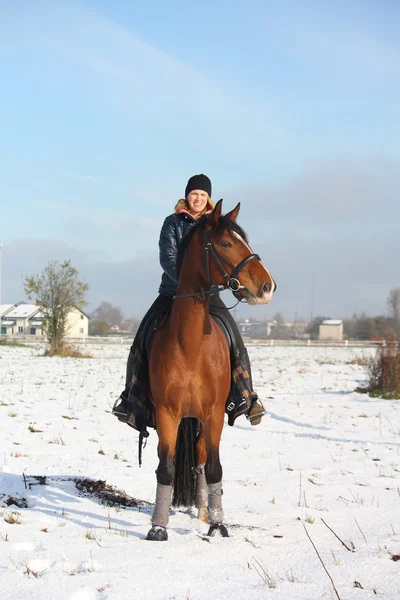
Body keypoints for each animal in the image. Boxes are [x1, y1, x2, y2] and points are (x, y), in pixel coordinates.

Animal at [146, 199, 276, 540]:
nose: (268, 286)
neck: (190, 344)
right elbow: (165, 468)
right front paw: (158, 527)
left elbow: (214, 467)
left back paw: (206, 512)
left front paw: (218, 524)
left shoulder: (214, 413)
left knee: (203, 462)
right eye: (227, 243)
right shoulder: (167, 414)